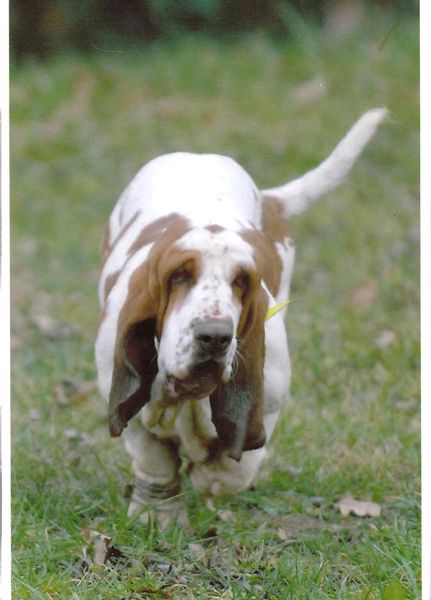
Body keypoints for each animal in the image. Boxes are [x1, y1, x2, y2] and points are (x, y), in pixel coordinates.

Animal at [96, 110, 386, 528]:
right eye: (179, 276)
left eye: (241, 281)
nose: (214, 337)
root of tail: (270, 200)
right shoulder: (129, 408)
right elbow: (155, 461)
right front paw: (159, 514)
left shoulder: (269, 404)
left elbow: (234, 467)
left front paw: (207, 478)